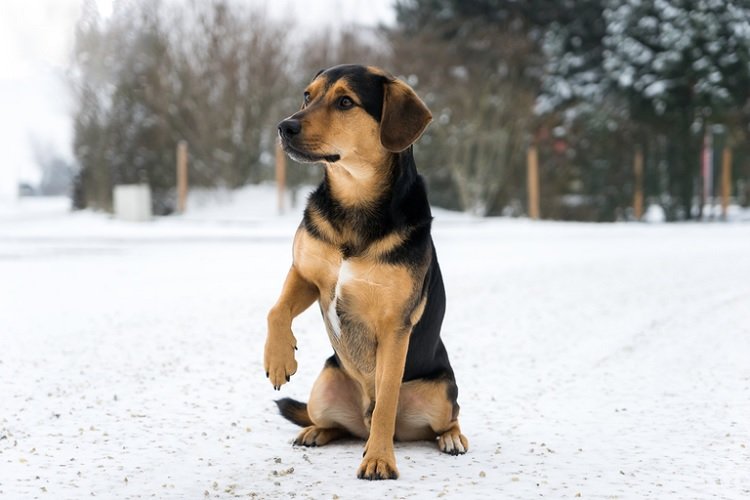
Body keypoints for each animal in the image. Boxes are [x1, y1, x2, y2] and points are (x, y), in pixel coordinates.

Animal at [262, 63, 468, 480]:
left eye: (345, 102)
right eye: (307, 96)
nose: (284, 127)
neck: (354, 203)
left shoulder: (394, 326)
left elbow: (387, 400)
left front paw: (379, 460)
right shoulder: (307, 274)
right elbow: (276, 310)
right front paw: (279, 360)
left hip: (441, 391)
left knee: (445, 418)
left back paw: (451, 438)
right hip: (323, 388)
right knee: (337, 425)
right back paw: (314, 431)